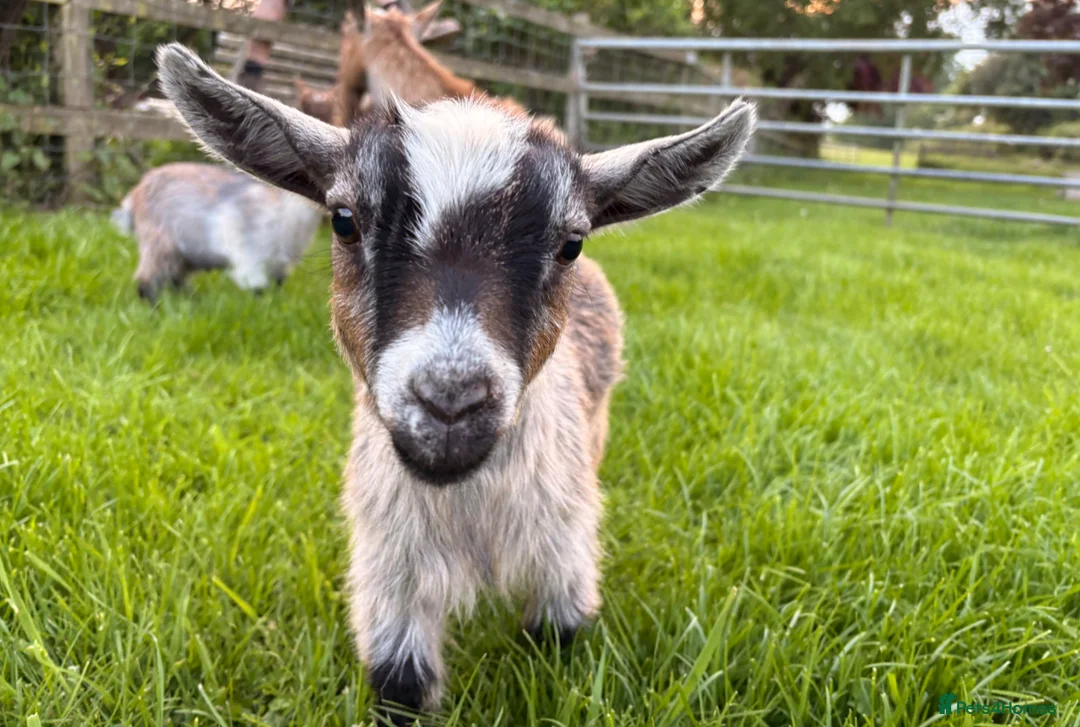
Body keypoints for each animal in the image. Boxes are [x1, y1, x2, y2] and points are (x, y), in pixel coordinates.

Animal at [112, 162, 323, 301]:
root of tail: (134, 197)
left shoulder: (280, 265)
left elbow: (278, 287)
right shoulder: (250, 258)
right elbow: (258, 290)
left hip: (183, 254)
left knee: (175, 277)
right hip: (160, 243)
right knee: (148, 278)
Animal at [156, 42, 755, 723]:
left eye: (571, 243)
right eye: (344, 220)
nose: (449, 402)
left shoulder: (566, 554)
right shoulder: (389, 576)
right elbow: (402, 688)